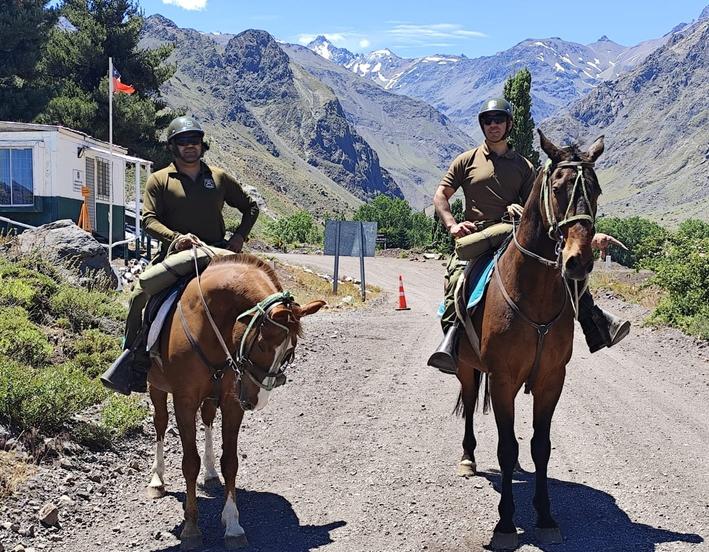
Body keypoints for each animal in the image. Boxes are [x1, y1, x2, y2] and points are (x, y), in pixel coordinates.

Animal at [144, 253, 325, 550]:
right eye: (262, 345)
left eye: (289, 352)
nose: (257, 399)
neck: (207, 323)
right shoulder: (184, 401)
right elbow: (189, 463)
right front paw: (191, 528)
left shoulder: (231, 403)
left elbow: (230, 462)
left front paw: (233, 525)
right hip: (156, 387)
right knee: (160, 424)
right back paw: (157, 479)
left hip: (210, 397)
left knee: (207, 421)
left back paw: (210, 473)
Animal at [454, 129, 604, 549]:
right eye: (557, 187)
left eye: (596, 190)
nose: (578, 261)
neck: (532, 295)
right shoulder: (502, 379)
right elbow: (506, 448)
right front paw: (505, 523)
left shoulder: (551, 380)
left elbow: (540, 446)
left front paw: (545, 514)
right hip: (466, 368)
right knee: (469, 405)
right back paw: (468, 458)